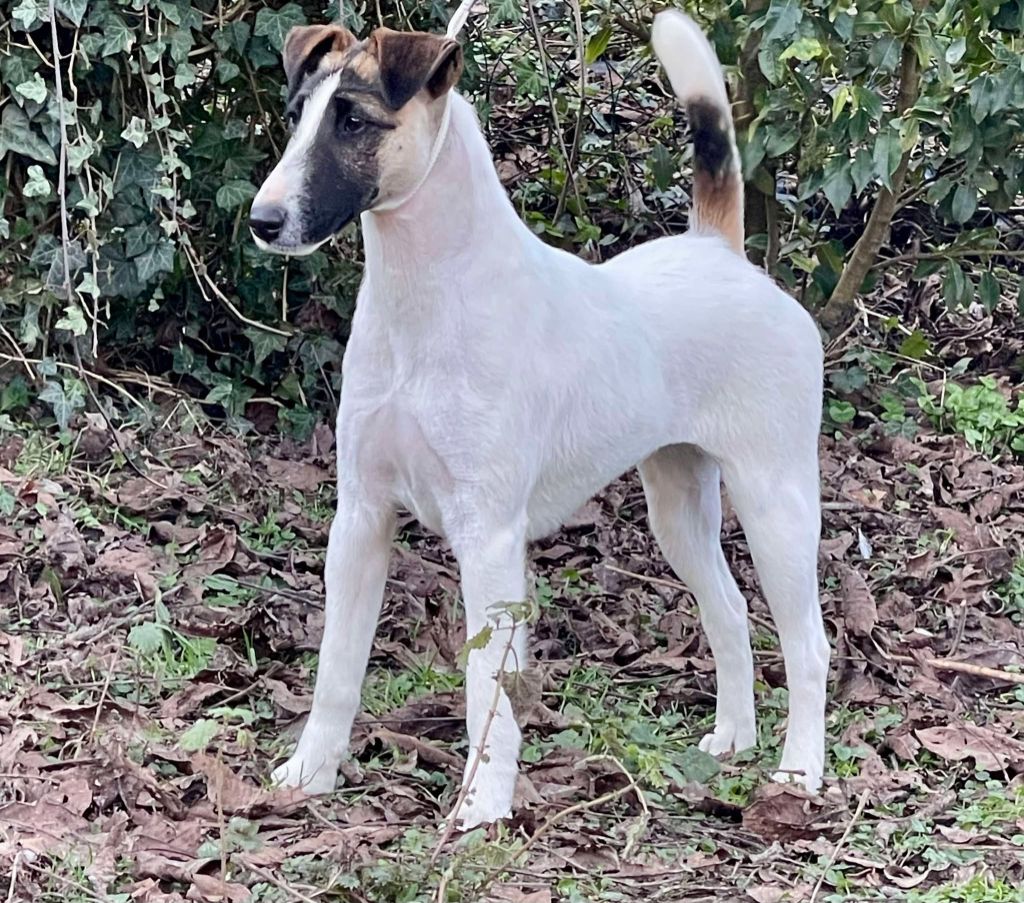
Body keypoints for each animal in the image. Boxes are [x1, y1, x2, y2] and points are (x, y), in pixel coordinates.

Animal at [249, 10, 829, 829]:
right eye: (298, 115)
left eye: (353, 121)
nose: (263, 221)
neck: (426, 307)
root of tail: (720, 252)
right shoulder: (361, 519)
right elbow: (338, 667)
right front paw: (311, 771)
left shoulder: (487, 537)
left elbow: (484, 688)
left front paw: (481, 808)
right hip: (679, 509)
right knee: (731, 612)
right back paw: (734, 738)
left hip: (776, 503)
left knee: (809, 645)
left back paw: (800, 771)